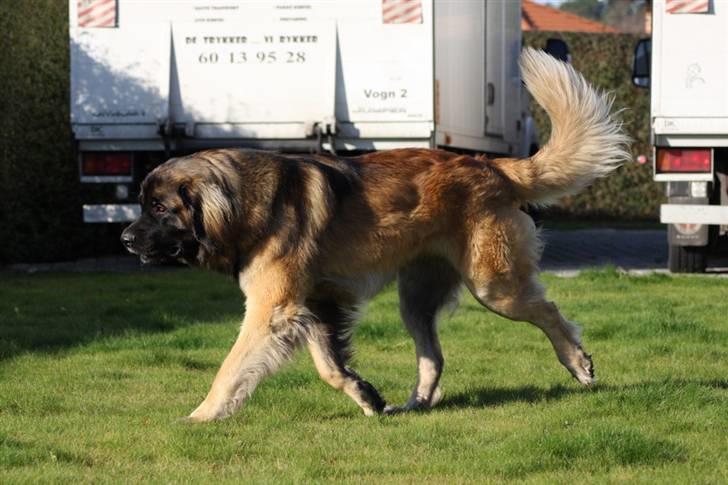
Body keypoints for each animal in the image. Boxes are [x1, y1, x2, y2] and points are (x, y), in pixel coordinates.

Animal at [122, 49, 628, 420]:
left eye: (159, 208)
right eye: (143, 204)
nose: (126, 239)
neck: (249, 202)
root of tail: (492, 166)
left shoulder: (272, 310)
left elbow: (230, 368)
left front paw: (201, 416)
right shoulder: (316, 305)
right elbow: (330, 367)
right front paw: (367, 396)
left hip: (493, 285)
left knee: (548, 310)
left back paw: (579, 364)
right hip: (417, 298)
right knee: (434, 356)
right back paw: (415, 403)